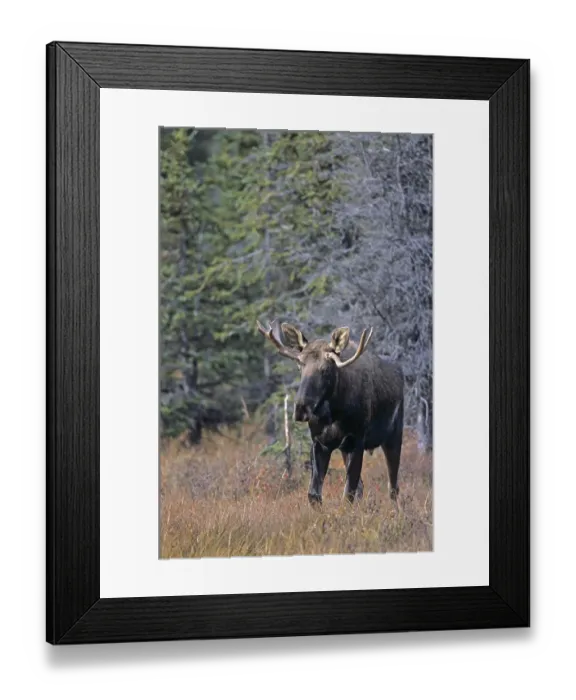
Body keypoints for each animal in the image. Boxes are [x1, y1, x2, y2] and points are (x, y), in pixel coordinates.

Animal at [257, 319, 404, 506]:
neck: (334, 415)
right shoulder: (320, 442)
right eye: (300, 365)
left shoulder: (357, 440)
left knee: (393, 486)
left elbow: (348, 493)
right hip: (345, 448)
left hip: (394, 435)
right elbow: (314, 494)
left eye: (325, 369)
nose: (301, 408)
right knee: (364, 487)